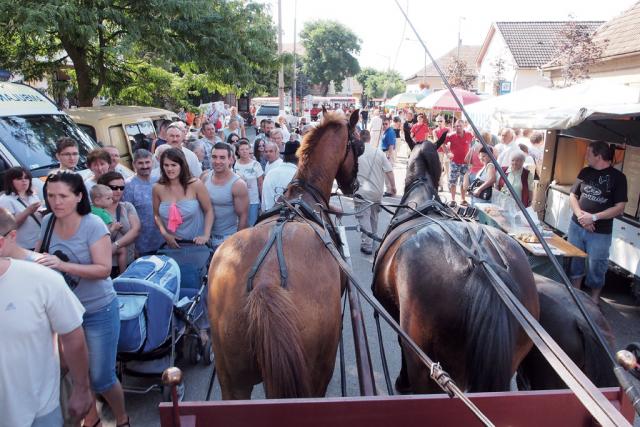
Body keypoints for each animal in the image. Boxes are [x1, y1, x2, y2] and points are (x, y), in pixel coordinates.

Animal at [208, 110, 362, 402]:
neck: (302, 196)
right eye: (359, 145)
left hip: (233, 380)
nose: (354, 185)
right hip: (316, 372)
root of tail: (266, 281)